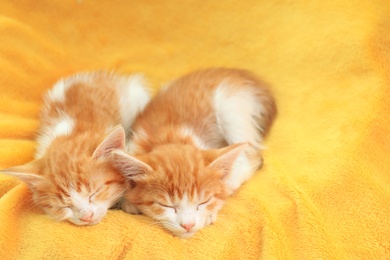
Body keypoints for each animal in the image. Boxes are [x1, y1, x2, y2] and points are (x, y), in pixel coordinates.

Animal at [112, 67, 278, 238]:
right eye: (167, 205)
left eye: (202, 202)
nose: (188, 225)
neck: (168, 138)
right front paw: (127, 200)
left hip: (230, 105)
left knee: (252, 156)